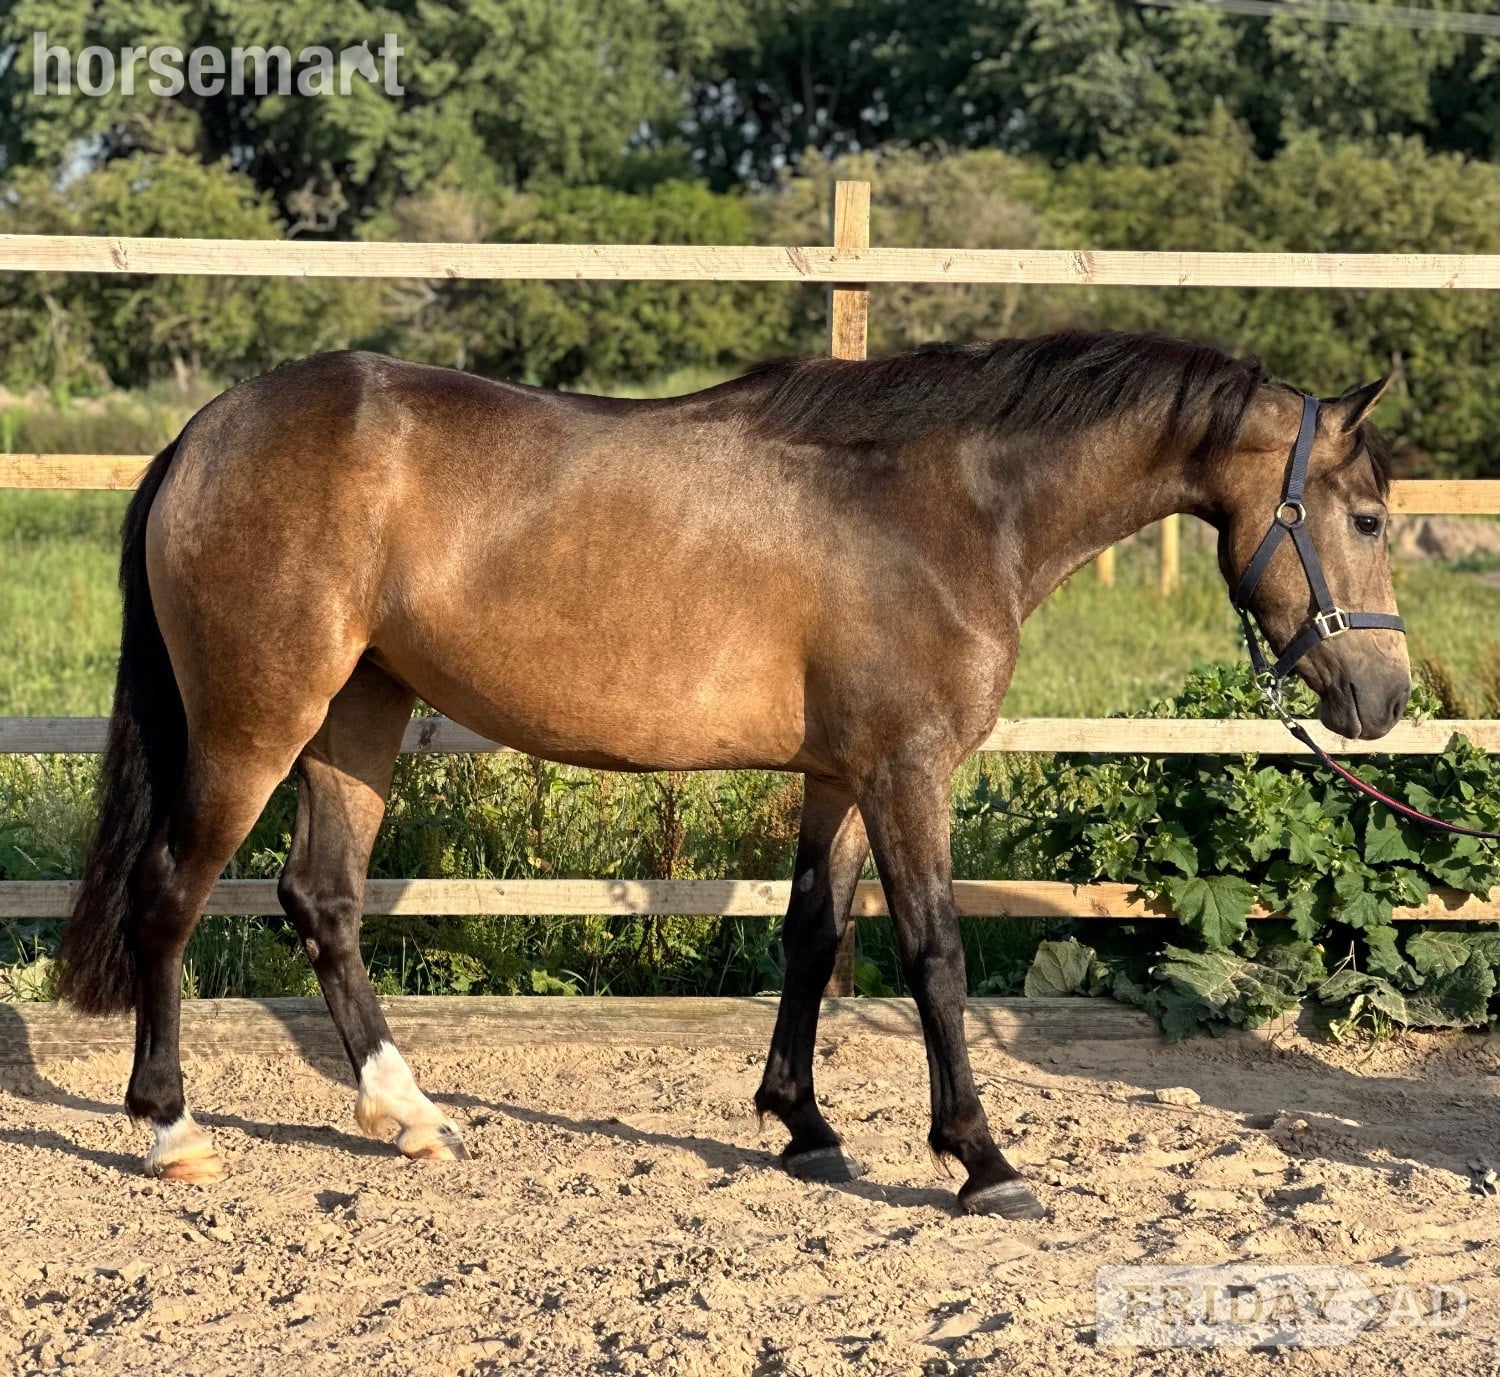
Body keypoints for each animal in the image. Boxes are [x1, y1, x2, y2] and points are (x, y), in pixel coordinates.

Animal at [57, 329, 1409, 1219]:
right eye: (1372, 518)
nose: (1385, 701)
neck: (945, 505)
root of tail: (205, 432)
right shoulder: (908, 769)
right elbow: (934, 955)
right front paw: (983, 1159)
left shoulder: (843, 775)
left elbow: (813, 934)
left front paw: (803, 1126)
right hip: (258, 719)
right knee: (172, 895)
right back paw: (170, 1129)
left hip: (359, 713)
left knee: (323, 900)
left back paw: (409, 1116)